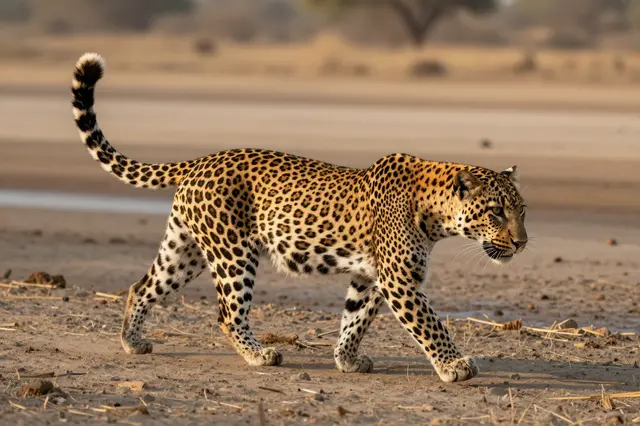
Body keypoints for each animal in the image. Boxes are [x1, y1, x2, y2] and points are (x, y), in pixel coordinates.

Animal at [71, 53, 528, 383]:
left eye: (521, 211)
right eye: (496, 211)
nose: (522, 242)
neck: (435, 213)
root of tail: (202, 160)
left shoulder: (370, 275)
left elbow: (355, 318)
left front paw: (347, 360)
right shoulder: (400, 279)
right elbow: (431, 324)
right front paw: (455, 366)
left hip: (185, 250)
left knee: (142, 285)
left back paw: (132, 341)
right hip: (233, 253)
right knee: (227, 313)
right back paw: (259, 355)